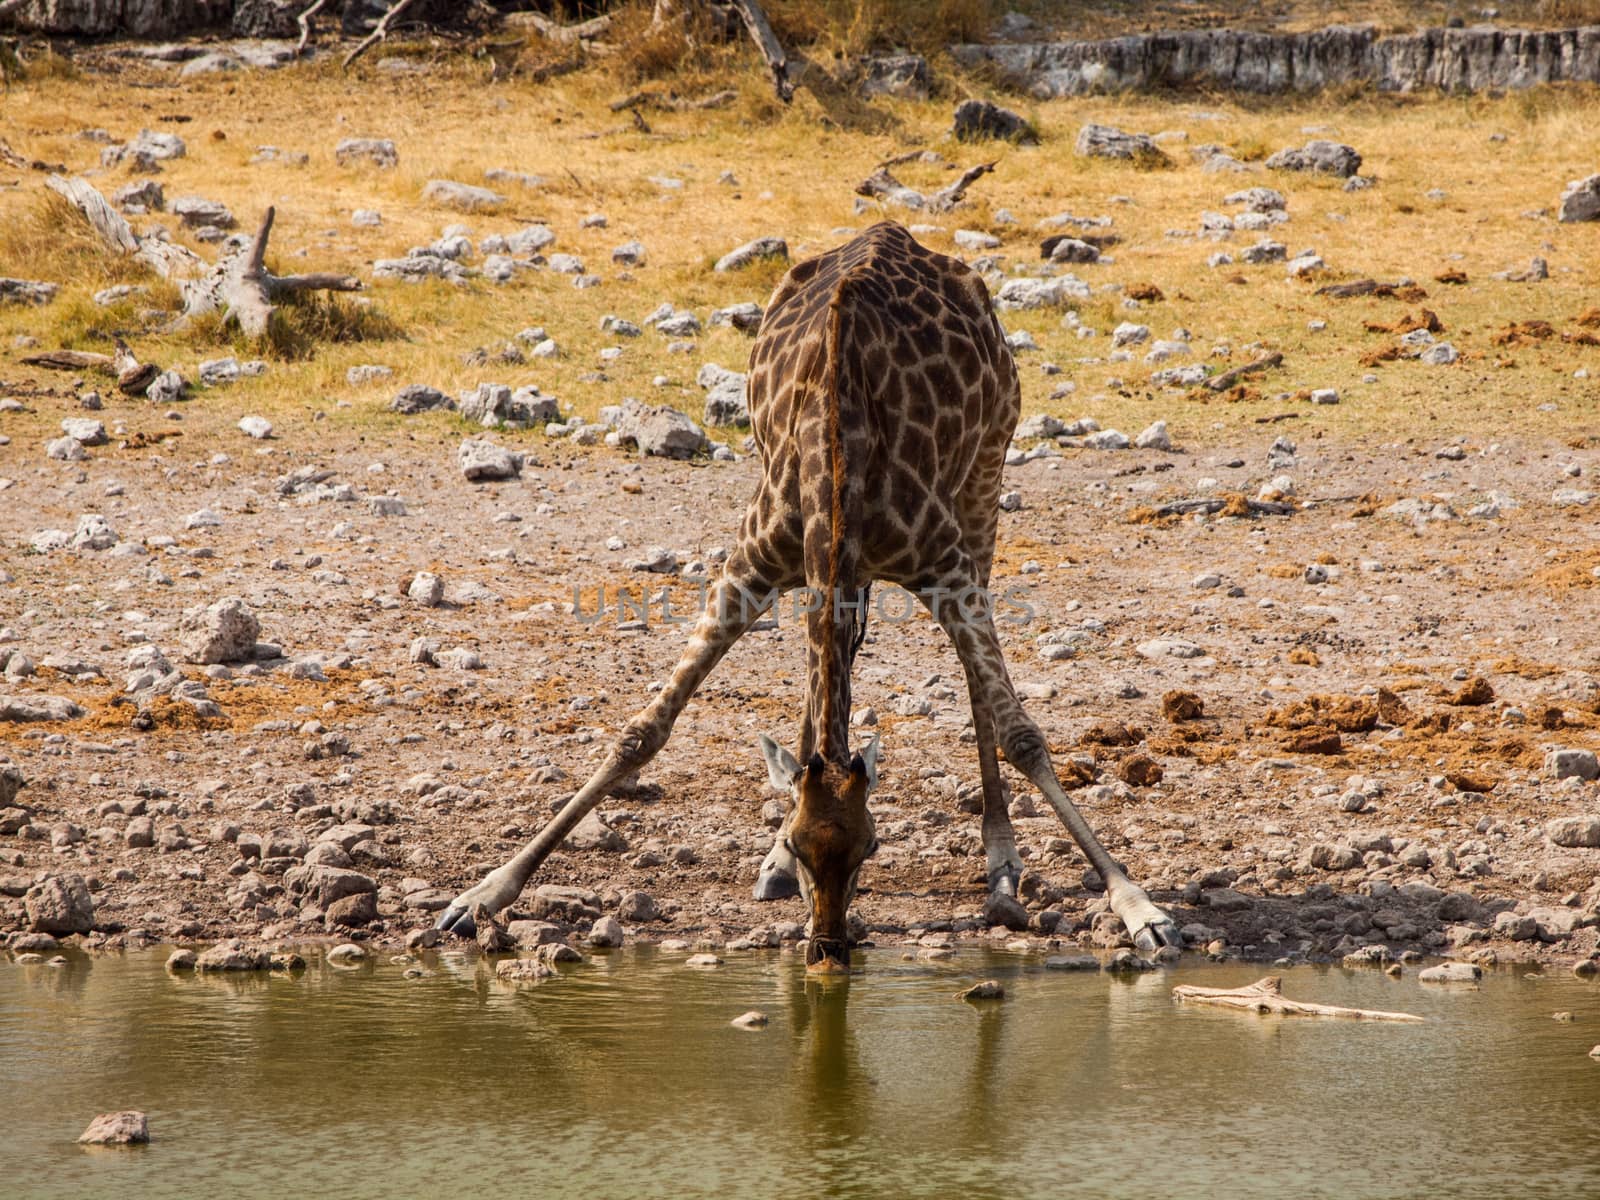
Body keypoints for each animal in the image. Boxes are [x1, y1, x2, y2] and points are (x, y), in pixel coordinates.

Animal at [432, 224, 1184, 966]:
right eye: (802, 843)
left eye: (873, 847)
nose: (826, 947)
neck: (839, 459)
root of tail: (893, 230)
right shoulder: (750, 564)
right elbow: (642, 733)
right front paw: (481, 896)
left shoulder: (946, 567)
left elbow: (1021, 734)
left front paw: (1139, 906)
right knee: (828, 671)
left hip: (985, 475)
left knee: (974, 692)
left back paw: (1002, 871)